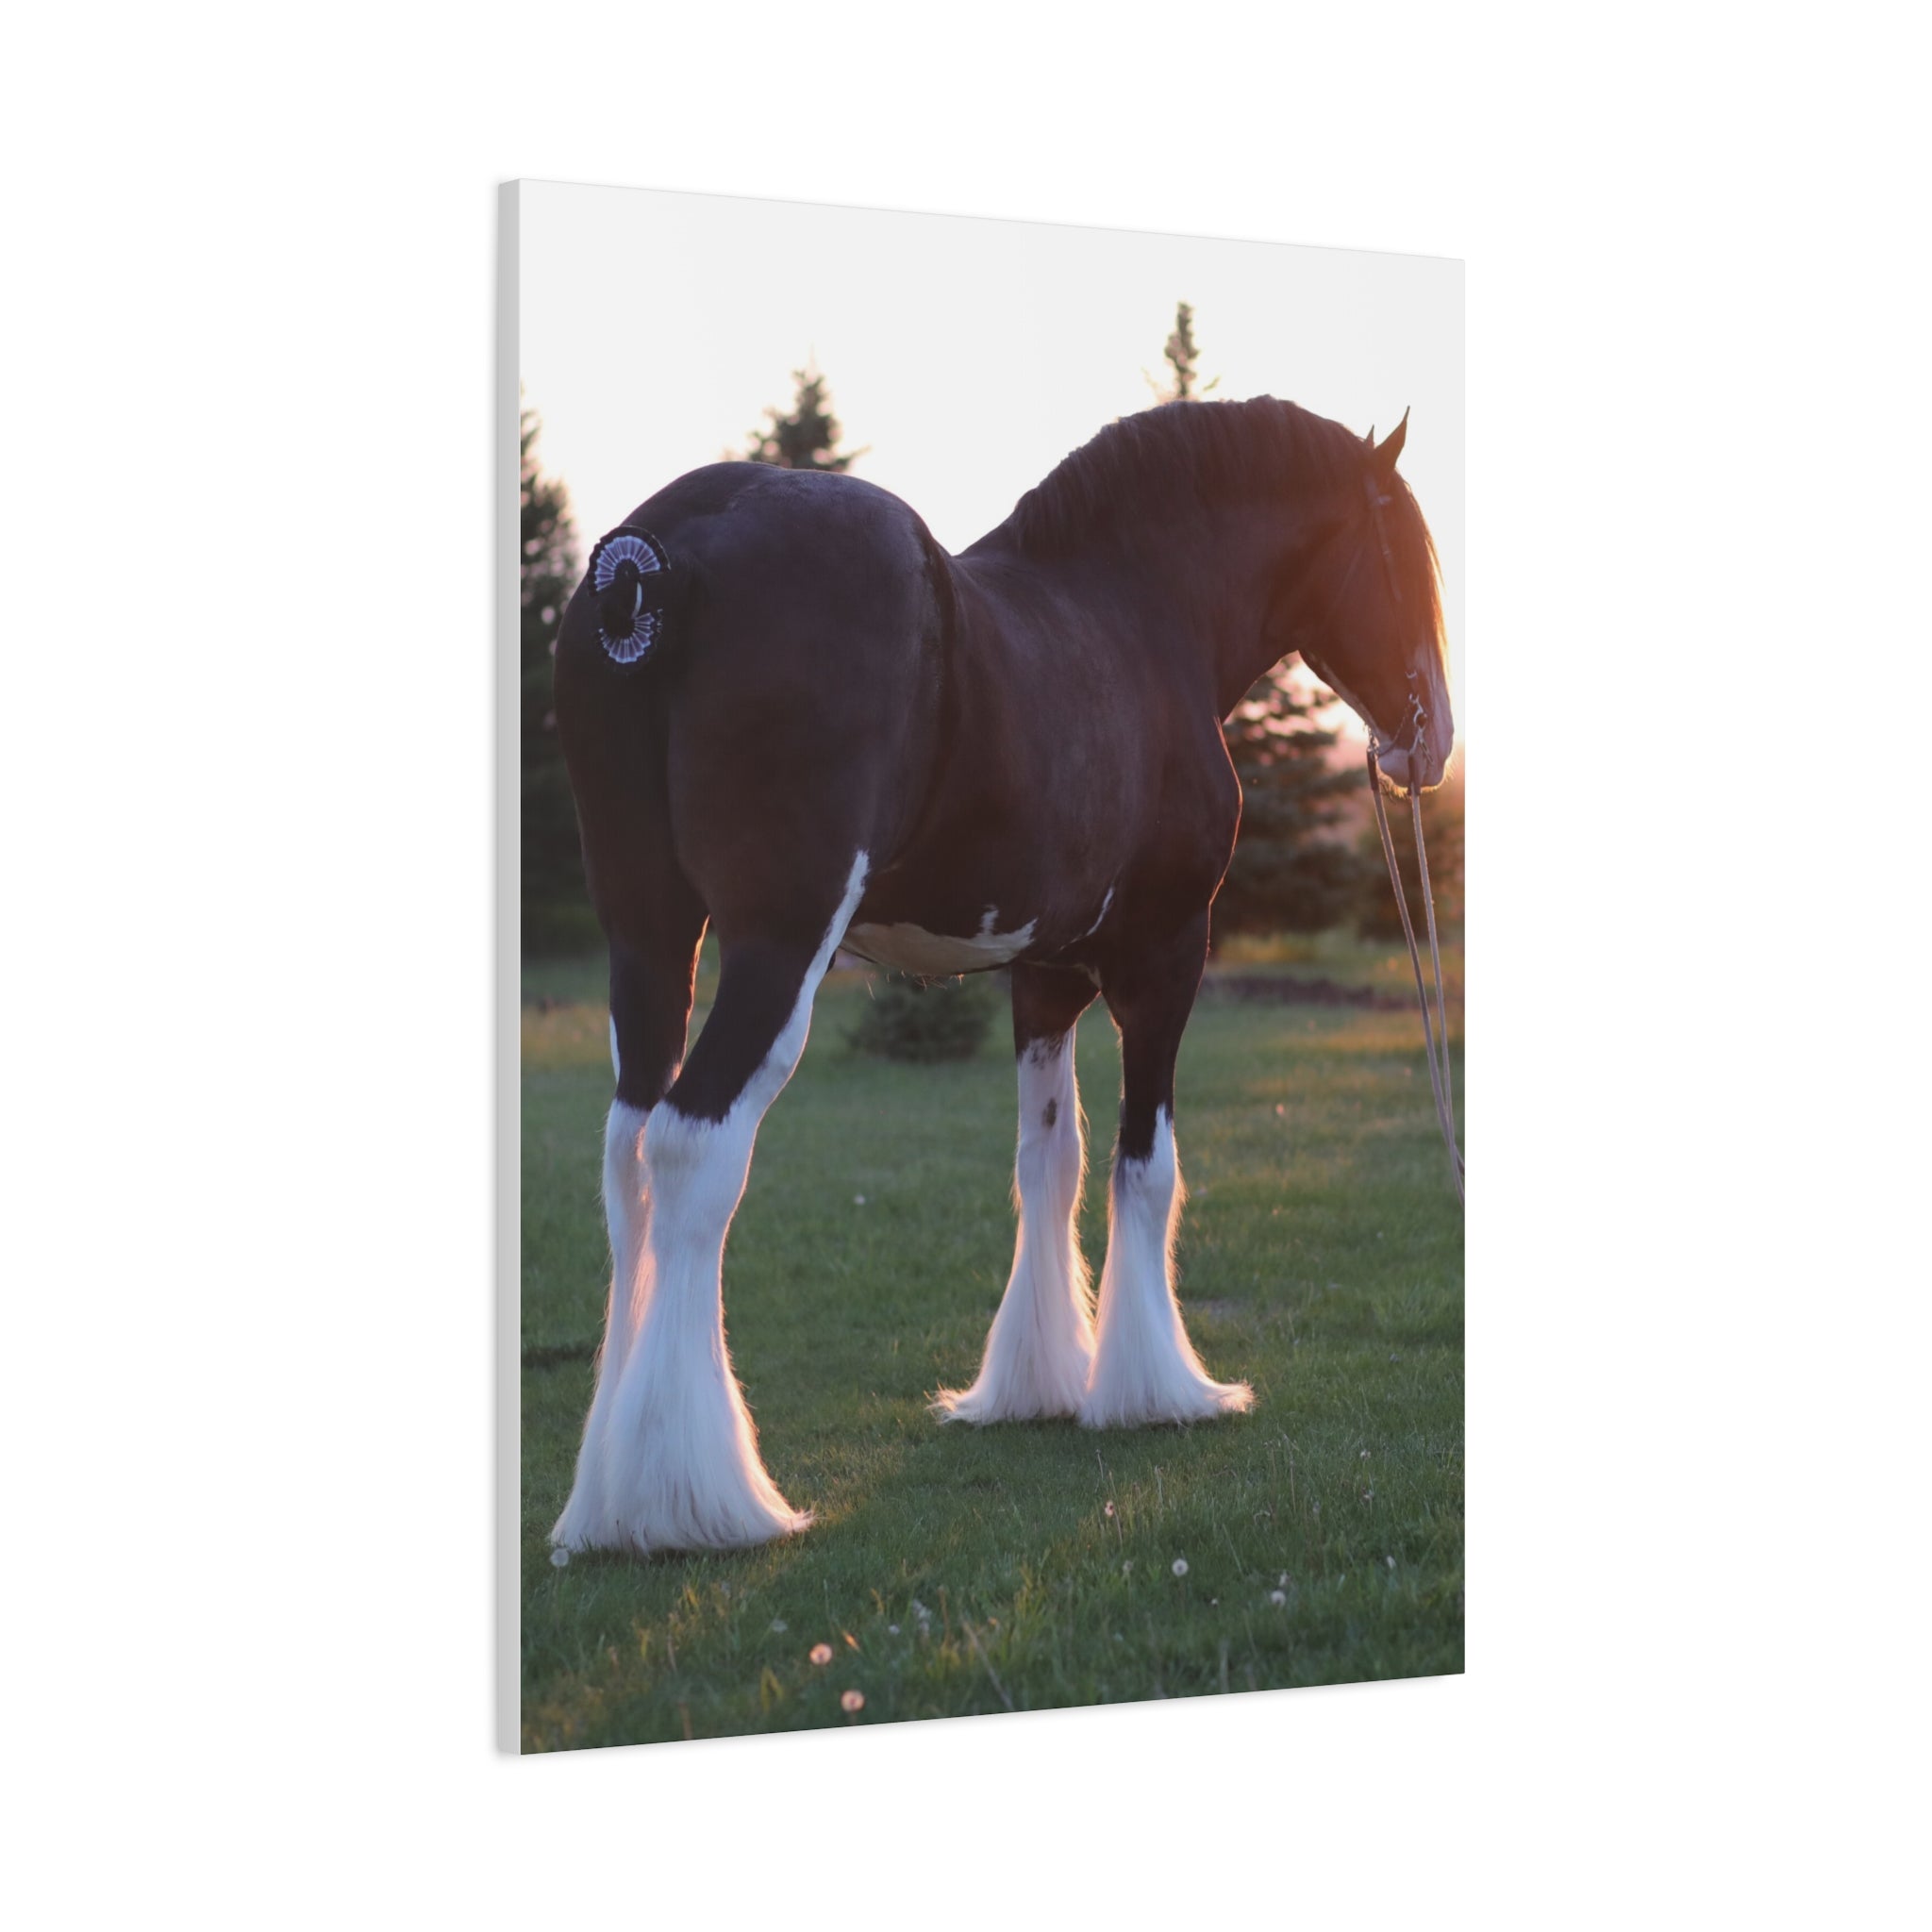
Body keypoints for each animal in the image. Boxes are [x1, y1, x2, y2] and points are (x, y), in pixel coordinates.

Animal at [546, 395, 1453, 1557]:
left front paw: (1036, 1382)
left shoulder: (1043, 975)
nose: (1430, 741)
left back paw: (604, 1500)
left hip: (651, 934)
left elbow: (1048, 1164)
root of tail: (653, 556)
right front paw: (1154, 1390)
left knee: (626, 1155)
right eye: (1406, 552)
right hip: (775, 943)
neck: (1135, 613)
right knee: (693, 1147)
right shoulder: (1166, 956)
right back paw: (693, 1501)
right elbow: (1145, 1166)